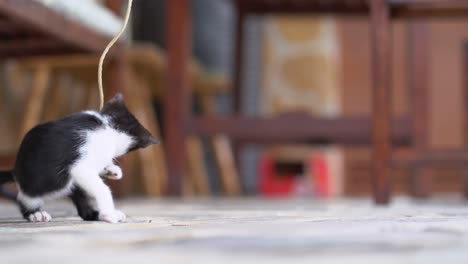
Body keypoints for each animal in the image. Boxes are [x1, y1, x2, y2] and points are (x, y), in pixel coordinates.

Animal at [0, 93, 158, 223]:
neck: (108, 124)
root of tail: (16, 171)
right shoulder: (81, 167)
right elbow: (102, 188)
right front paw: (109, 213)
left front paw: (112, 170)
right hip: (36, 188)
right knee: (25, 199)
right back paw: (35, 214)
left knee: (83, 207)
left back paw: (95, 214)